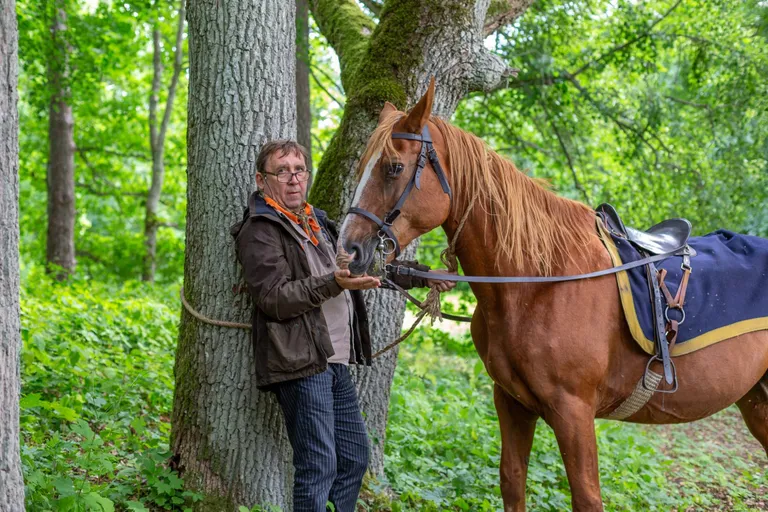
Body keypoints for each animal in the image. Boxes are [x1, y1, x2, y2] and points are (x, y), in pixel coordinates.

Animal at [340, 82, 768, 510]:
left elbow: (586, 496)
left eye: (394, 167)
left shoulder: (573, 412)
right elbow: (512, 481)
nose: (349, 250)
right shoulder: (511, 402)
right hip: (756, 402)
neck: (538, 283)